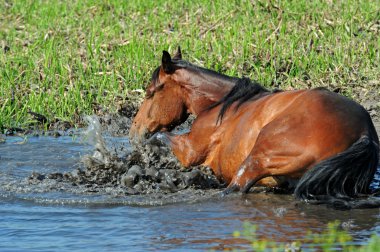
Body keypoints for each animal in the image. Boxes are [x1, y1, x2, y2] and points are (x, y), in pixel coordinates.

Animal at [129, 49, 378, 209]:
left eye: (150, 92)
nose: (134, 132)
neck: (224, 104)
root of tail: (364, 133)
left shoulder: (190, 150)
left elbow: (161, 136)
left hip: (259, 158)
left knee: (236, 188)